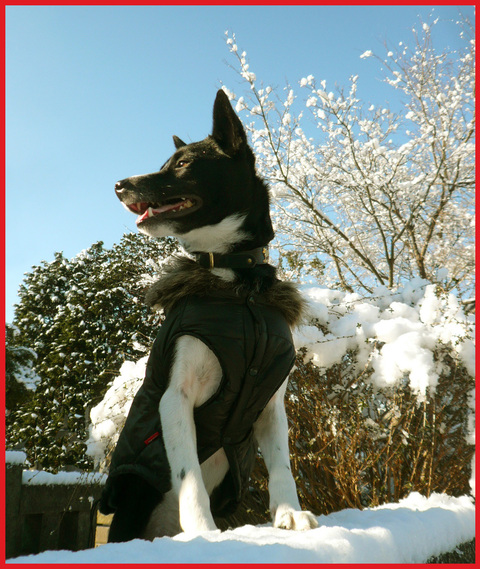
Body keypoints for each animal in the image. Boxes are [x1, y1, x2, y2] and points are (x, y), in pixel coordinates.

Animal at [100, 90, 318, 540]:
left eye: (184, 164)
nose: (119, 184)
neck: (237, 280)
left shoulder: (272, 403)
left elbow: (282, 465)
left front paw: (289, 513)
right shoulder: (175, 397)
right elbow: (188, 477)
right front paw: (201, 529)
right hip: (134, 495)